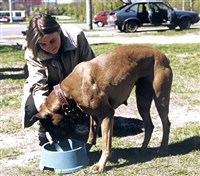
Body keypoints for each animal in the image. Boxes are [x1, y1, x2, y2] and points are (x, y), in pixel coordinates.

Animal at [32, 45, 172, 173]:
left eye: (51, 128)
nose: (54, 143)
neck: (68, 91)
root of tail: (163, 56)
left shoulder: (107, 115)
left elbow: (106, 144)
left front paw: (100, 165)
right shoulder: (94, 116)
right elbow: (91, 136)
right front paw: (85, 150)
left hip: (161, 99)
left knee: (166, 123)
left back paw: (163, 148)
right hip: (142, 101)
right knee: (149, 125)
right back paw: (142, 149)